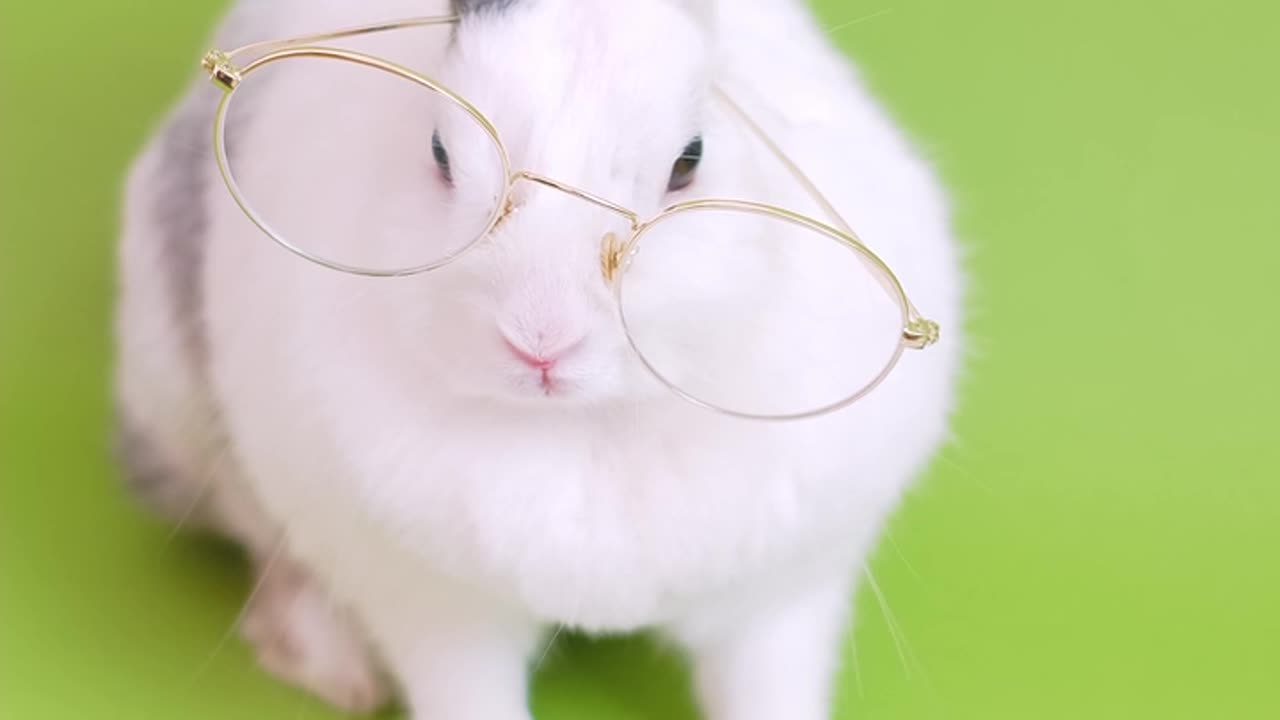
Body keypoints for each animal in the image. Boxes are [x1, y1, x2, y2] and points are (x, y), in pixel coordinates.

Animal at [115, 1, 962, 717]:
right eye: (439, 153)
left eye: (689, 161)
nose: (540, 339)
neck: (585, 427)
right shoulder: (437, 613)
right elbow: (465, 692)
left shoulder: (779, 605)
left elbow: (768, 688)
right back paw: (336, 669)